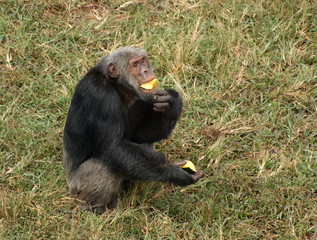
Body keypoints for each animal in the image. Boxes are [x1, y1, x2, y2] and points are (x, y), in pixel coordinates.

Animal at [62, 46, 202, 214]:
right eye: (135, 65)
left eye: (142, 60)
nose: (146, 70)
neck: (116, 85)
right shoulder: (101, 96)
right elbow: (113, 146)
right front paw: (174, 171)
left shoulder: (140, 100)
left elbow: (141, 135)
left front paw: (171, 101)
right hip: (78, 186)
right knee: (103, 165)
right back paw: (96, 208)